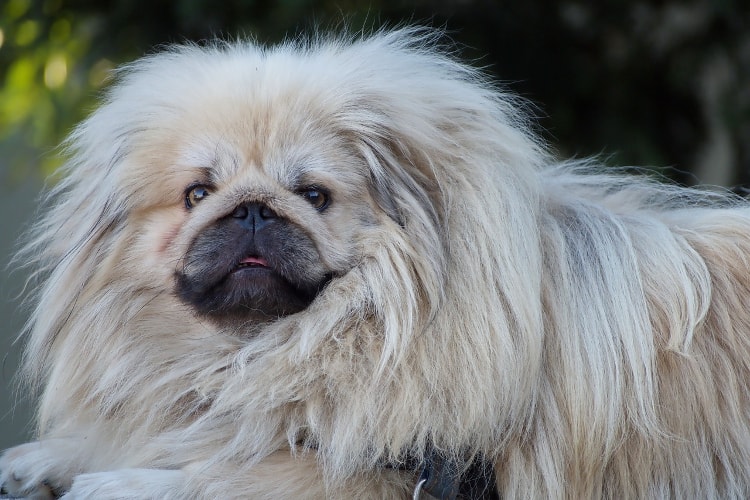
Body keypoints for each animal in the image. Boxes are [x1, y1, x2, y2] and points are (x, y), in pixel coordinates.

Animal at [1, 28, 750, 500]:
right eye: (197, 194)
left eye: (312, 195)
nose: (252, 210)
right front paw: (42, 461)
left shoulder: (392, 474)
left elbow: (234, 473)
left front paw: (121, 483)